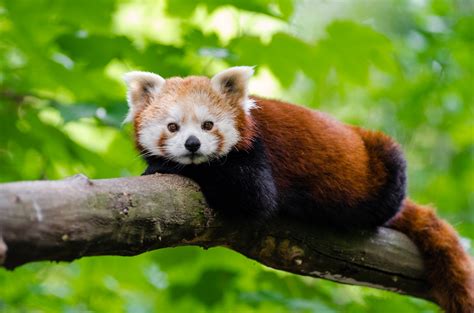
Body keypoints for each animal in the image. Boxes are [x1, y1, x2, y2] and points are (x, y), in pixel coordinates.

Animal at [125, 65, 474, 310]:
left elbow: (253, 195)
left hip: (384, 164)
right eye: (172, 127)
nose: (193, 144)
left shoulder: (257, 155)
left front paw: (164, 166)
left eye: (208, 125)